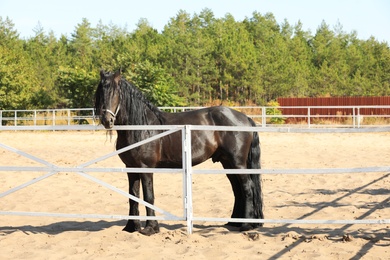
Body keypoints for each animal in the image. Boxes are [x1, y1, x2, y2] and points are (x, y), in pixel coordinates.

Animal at [95, 69, 266, 236]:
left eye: (116, 93)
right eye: (101, 91)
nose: (107, 120)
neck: (142, 127)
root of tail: (245, 117)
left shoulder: (146, 168)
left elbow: (148, 196)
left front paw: (151, 228)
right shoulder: (131, 168)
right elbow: (133, 196)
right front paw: (131, 227)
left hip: (238, 163)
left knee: (247, 188)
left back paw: (246, 225)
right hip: (227, 163)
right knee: (238, 190)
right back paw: (234, 222)